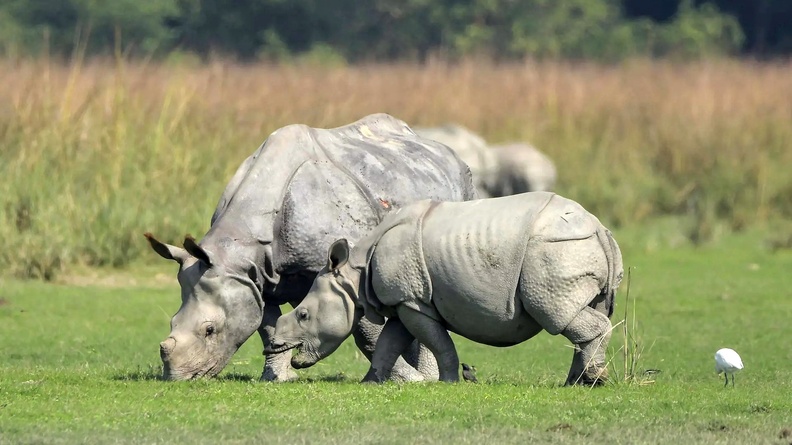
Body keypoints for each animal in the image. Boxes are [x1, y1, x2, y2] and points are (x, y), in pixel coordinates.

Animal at [145, 113, 476, 381]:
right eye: (172, 321)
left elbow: (366, 332)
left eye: (210, 330)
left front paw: (411, 381)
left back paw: (427, 376)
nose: (177, 377)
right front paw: (276, 379)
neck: (240, 246)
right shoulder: (255, 277)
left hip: (464, 184)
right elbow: (268, 327)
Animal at [269, 192, 623, 385]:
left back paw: (592, 380)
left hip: (554, 250)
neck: (353, 275)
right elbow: (389, 343)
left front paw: (447, 382)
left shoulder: (413, 301)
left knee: (556, 313)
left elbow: (439, 344)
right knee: (584, 310)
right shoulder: (404, 301)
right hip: (573, 246)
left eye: (303, 315)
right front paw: (370, 382)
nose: (275, 345)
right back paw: (576, 383)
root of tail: (599, 227)